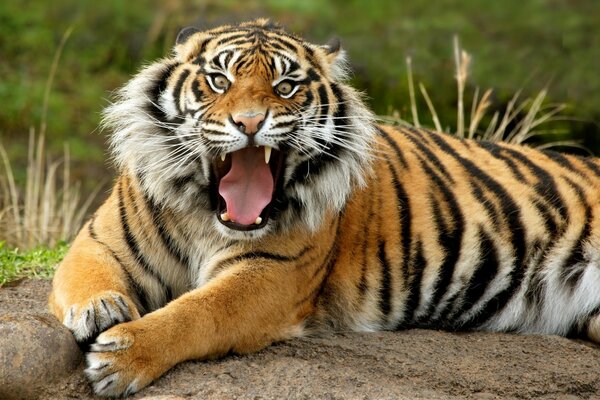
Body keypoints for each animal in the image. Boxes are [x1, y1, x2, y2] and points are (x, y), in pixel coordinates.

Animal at [49, 18, 600, 396]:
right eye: (220, 81)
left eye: (285, 87)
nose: (250, 122)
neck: (207, 215)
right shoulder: (99, 239)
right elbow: (86, 275)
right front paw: (101, 309)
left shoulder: (270, 274)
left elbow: (197, 311)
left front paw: (123, 357)